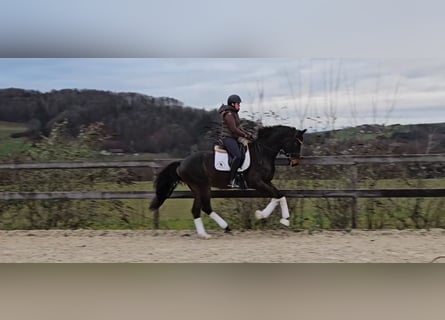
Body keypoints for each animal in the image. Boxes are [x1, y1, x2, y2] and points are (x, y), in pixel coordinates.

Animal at [149, 126, 306, 239]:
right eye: (295, 143)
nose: (295, 162)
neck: (262, 153)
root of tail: (181, 163)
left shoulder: (266, 181)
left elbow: (278, 195)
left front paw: (264, 215)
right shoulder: (257, 182)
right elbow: (278, 195)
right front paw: (283, 219)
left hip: (198, 188)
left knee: (199, 209)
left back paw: (211, 232)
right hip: (202, 186)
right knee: (204, 207)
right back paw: (211, 232)